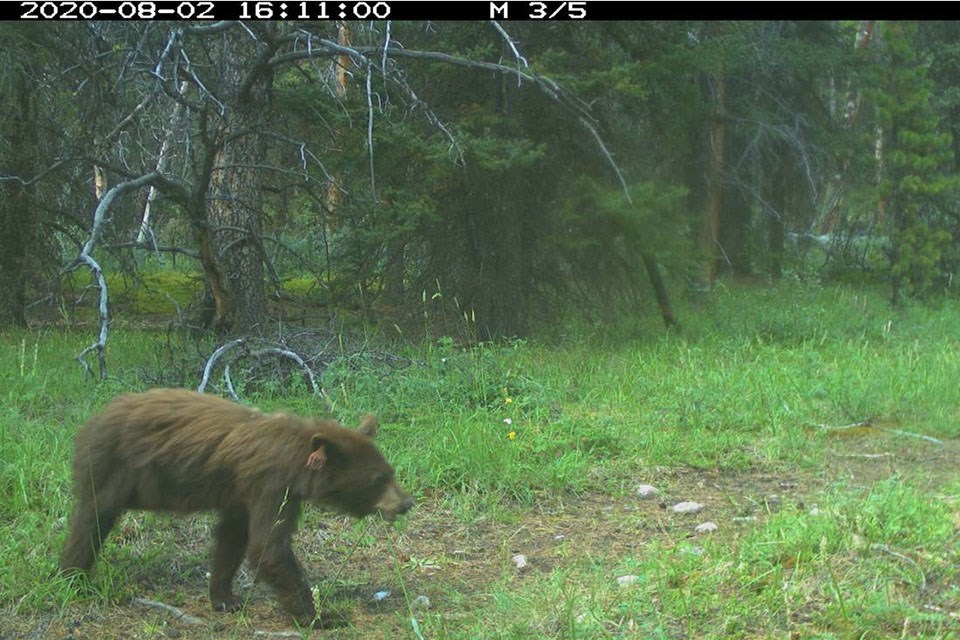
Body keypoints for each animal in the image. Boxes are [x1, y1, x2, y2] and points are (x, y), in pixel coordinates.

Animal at [59, 388, 412, 628]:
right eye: (379, 479)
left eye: (391, 472)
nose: (407, 503)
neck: (297, 456)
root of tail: (92, 421)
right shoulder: (272, 485)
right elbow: (268, 548)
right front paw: (321, 616)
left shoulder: (243, 494)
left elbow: (233, 536)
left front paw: (224, 598)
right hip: (112, 467)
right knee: (91, 520)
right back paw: (73, 577)